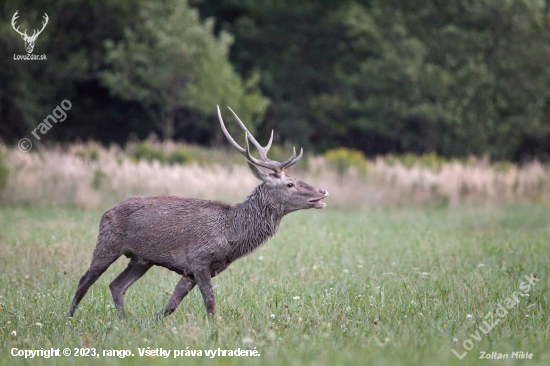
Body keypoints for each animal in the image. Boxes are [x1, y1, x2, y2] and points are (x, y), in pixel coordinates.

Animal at [67, 105, 330, 318]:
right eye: (290, 184)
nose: (323, 191)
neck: (232, 235)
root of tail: (106, 212)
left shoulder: (197, 269)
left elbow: (170, 306)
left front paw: (152, 323)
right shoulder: (199, 258)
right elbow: (210, 304)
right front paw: (214, 333)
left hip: (141, 259)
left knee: (116, 285)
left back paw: (124, 321)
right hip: (107, 243)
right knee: (84, 280)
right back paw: (69, 318)